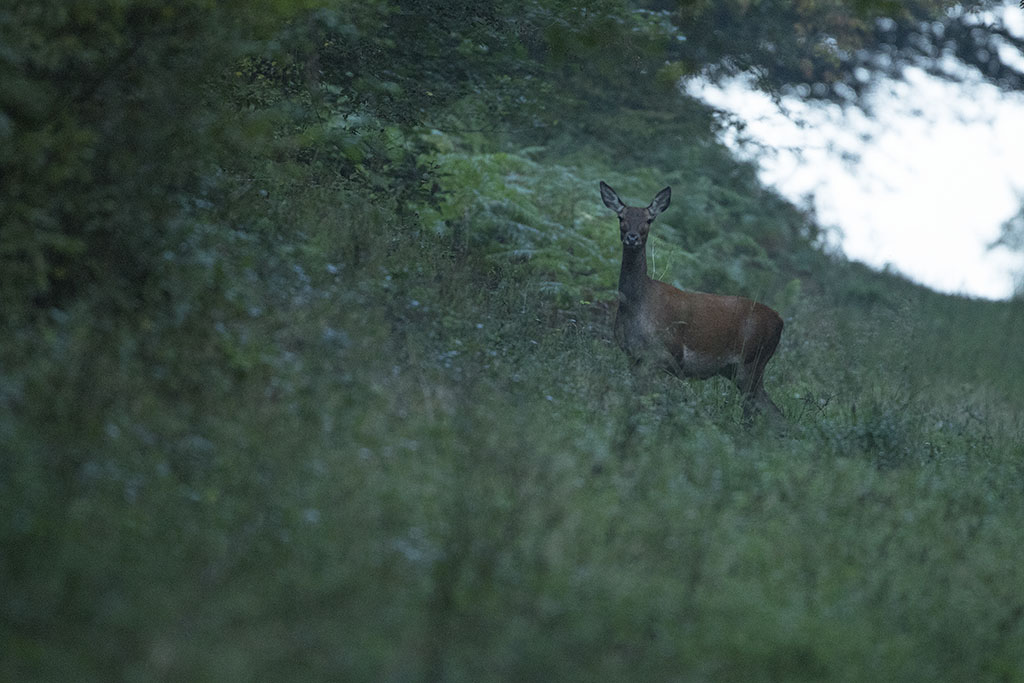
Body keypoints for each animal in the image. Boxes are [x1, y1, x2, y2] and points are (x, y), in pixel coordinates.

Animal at [598, 179, 782, 419]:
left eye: (648, 219)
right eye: (621, 217)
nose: (632, 237)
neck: (636, 306)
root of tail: (780, 322)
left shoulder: (668, 355)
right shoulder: (634, 356)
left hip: (752, 363)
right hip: (739, 370)